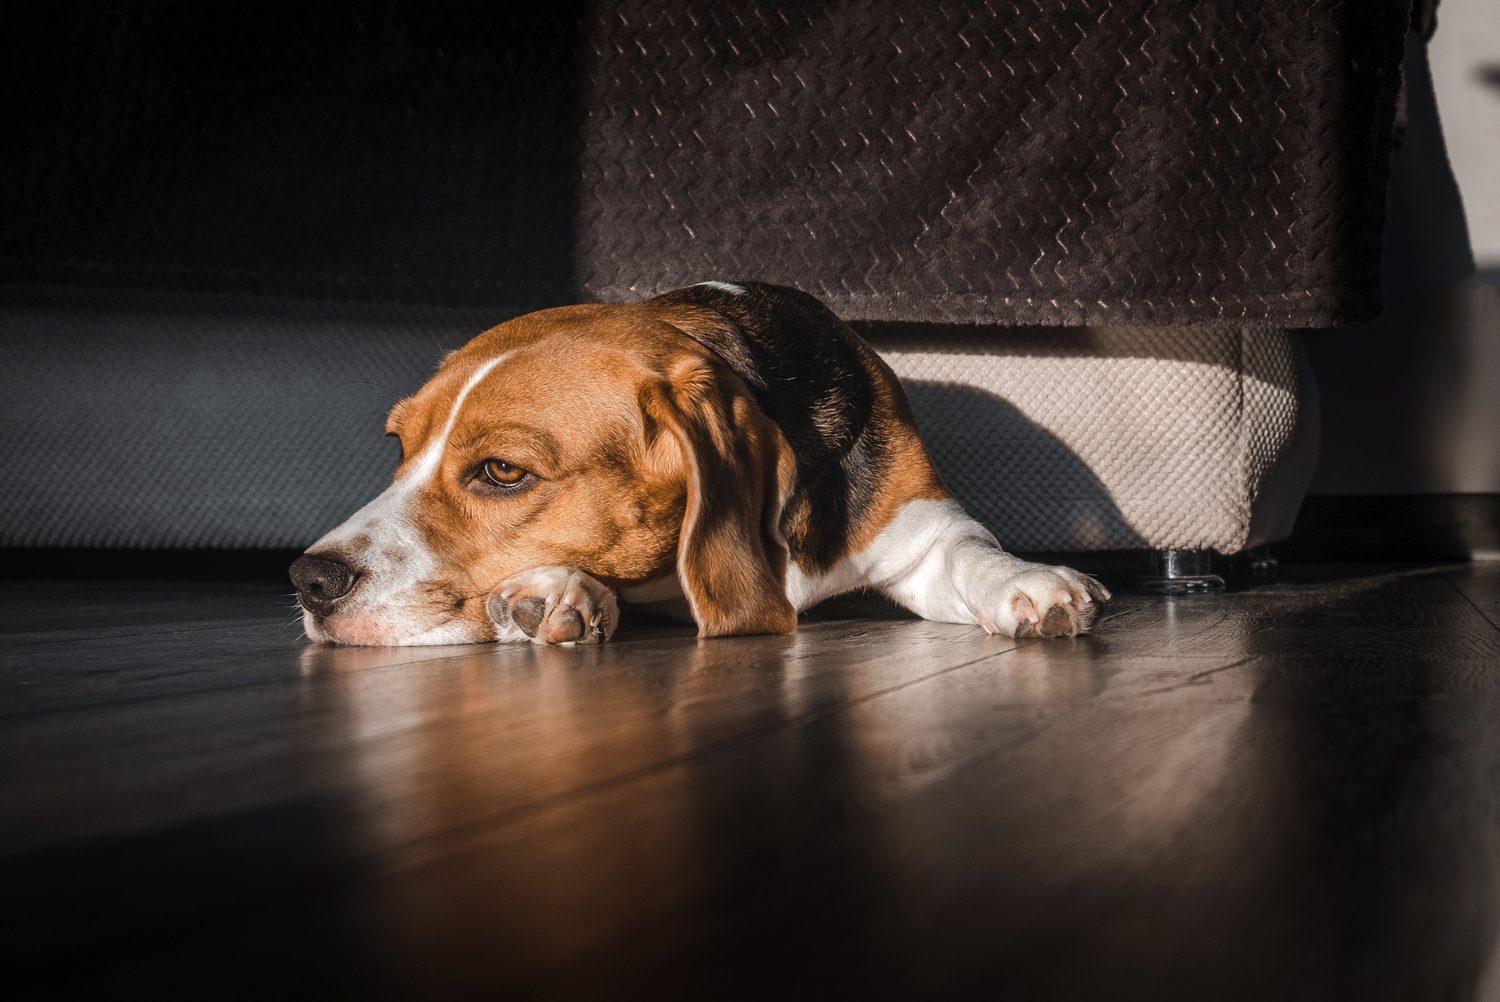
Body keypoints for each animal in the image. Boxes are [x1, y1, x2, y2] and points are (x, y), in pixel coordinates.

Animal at [292, 282, 1110, 645]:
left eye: (502, 472)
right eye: (400, 448)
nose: (309, 581)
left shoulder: (920, 530)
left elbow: (974, 552)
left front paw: (1035, 584)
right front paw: (553, 590)